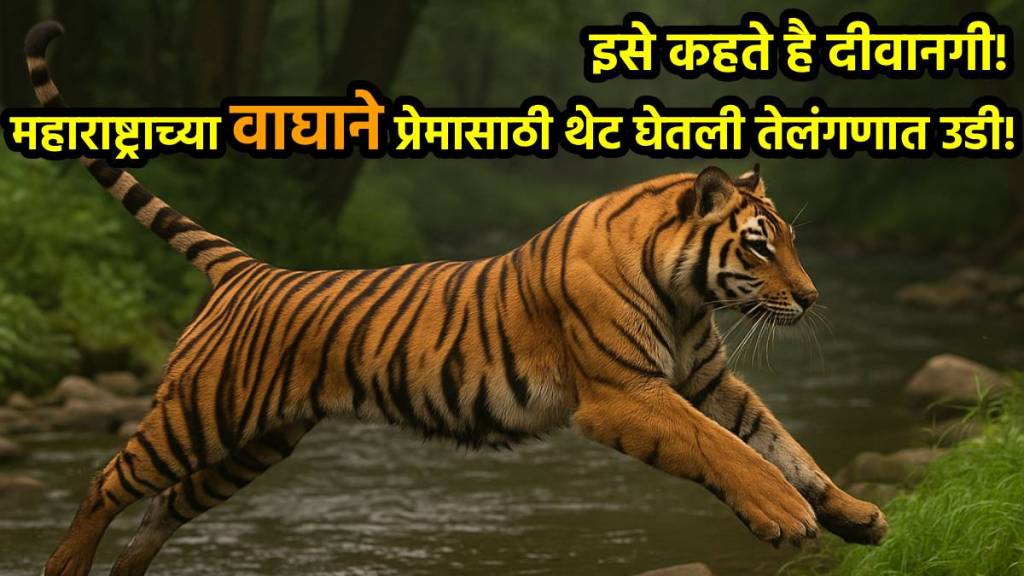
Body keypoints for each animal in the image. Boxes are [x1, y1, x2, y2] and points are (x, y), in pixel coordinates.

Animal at [24, 21, 887, 576]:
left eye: (791, 240)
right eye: (759, 244)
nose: (812, 298)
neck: (683, 295)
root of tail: (248, 270)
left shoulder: (708, 379)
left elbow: (782, 443)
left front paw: (853, 513)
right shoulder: (626, 394)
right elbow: (728, 450)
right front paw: (785, 514)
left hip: (253, 443)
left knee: (158, 513)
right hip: (202, 414)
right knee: (107, 481)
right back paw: (64, 565)